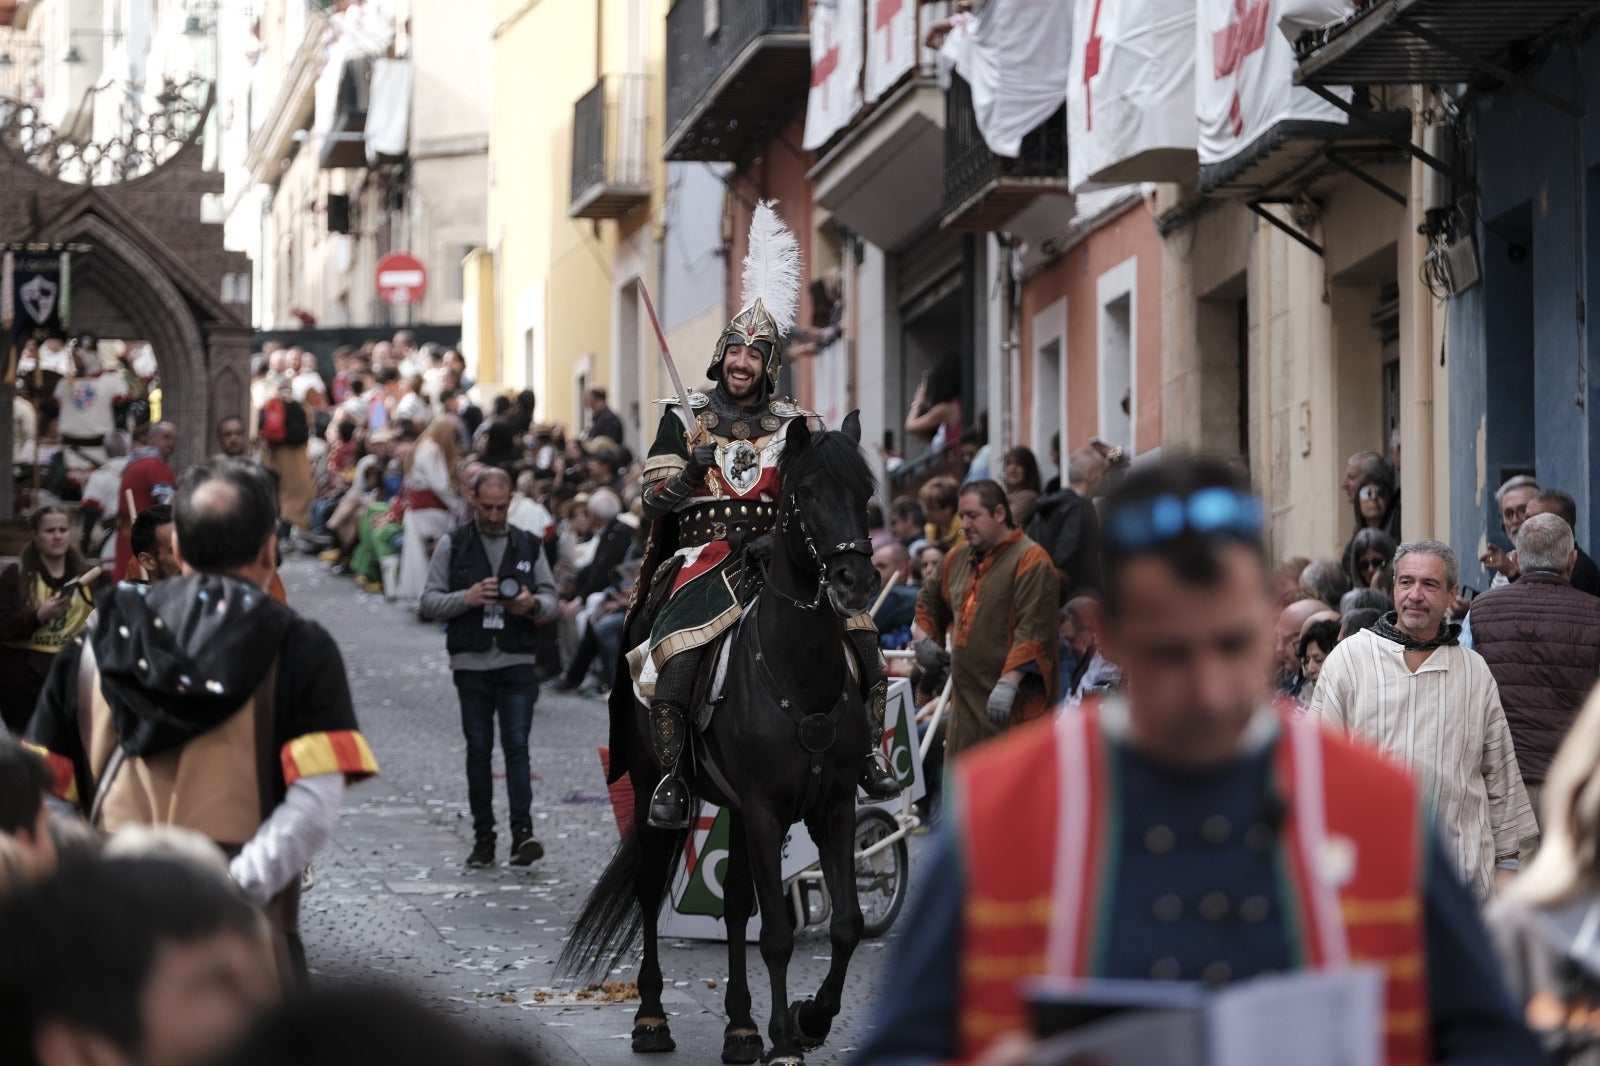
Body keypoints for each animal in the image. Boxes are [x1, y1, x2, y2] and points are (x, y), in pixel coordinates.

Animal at [556, 409, 883, 1062]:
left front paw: (811, 1019)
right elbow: (777, 934)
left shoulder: (832, 806)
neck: (799, 672)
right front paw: (785, 1038)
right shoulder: (764, 809)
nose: (855, 583)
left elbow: (846, 924)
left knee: (733, 904)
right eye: (808, 493)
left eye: (866, 493)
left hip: (732, 807)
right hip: (657, 787)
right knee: (650, 888)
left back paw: (739, 1028)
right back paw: (652, 1020)